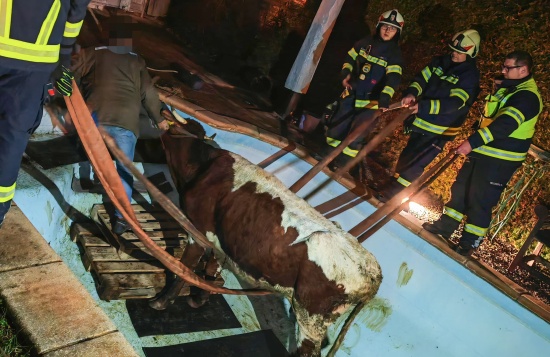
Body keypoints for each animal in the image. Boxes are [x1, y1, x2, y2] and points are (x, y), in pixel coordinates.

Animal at [151, 119, 384, 354]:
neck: (204, 165)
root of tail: (372, 271)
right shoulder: (220, 240)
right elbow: (211, 269)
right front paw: (198, 301)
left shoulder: (197, 230)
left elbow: (184, 269)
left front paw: (160, 302)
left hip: (310, 319)